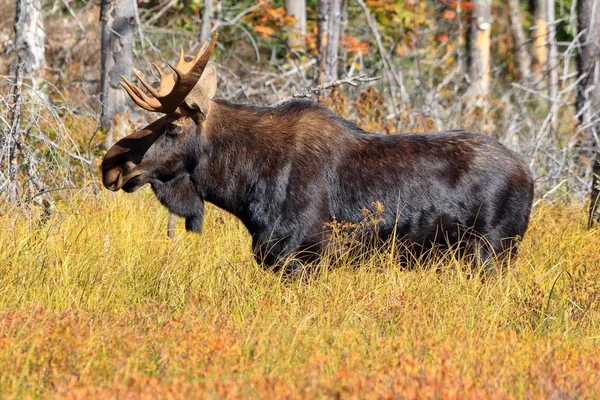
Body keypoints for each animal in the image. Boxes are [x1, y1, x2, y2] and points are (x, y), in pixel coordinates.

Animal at [102, 36, 536, 274]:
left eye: (172, 128)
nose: (111, 164)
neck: (243, 187)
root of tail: (530, 177)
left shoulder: (301, 258)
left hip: (492, 252)